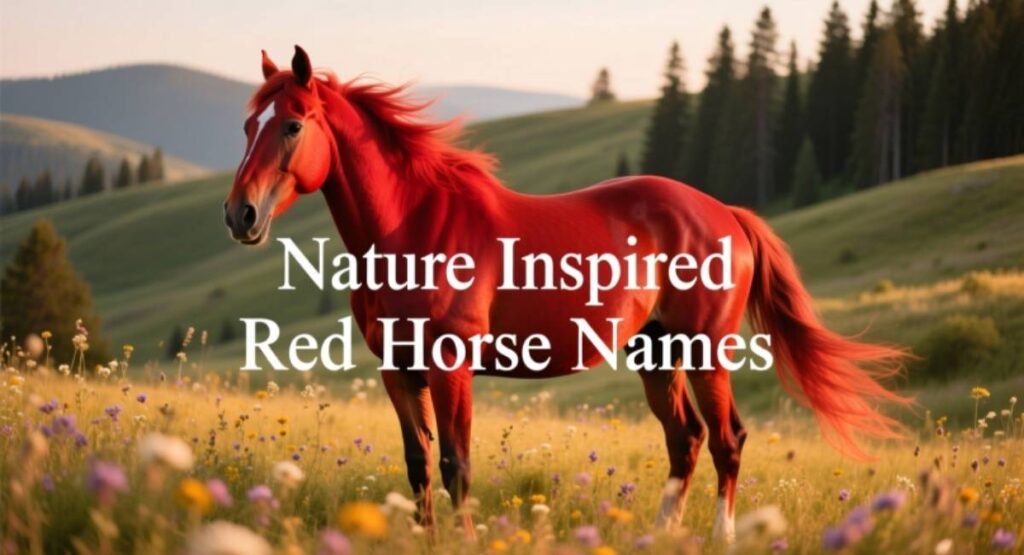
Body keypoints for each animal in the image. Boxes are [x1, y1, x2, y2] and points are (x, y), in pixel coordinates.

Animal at [224, 46, 910, 542]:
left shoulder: (451, 366)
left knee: (726, 440)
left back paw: (722, 535)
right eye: (247, 125)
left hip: (705, 349)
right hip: (655, 353)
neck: (414, 226)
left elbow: (456, 467)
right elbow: (418, 466)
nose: (240, 215)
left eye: (292, 125)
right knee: (685, 439)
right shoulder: (399, 368)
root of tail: (726, 214)